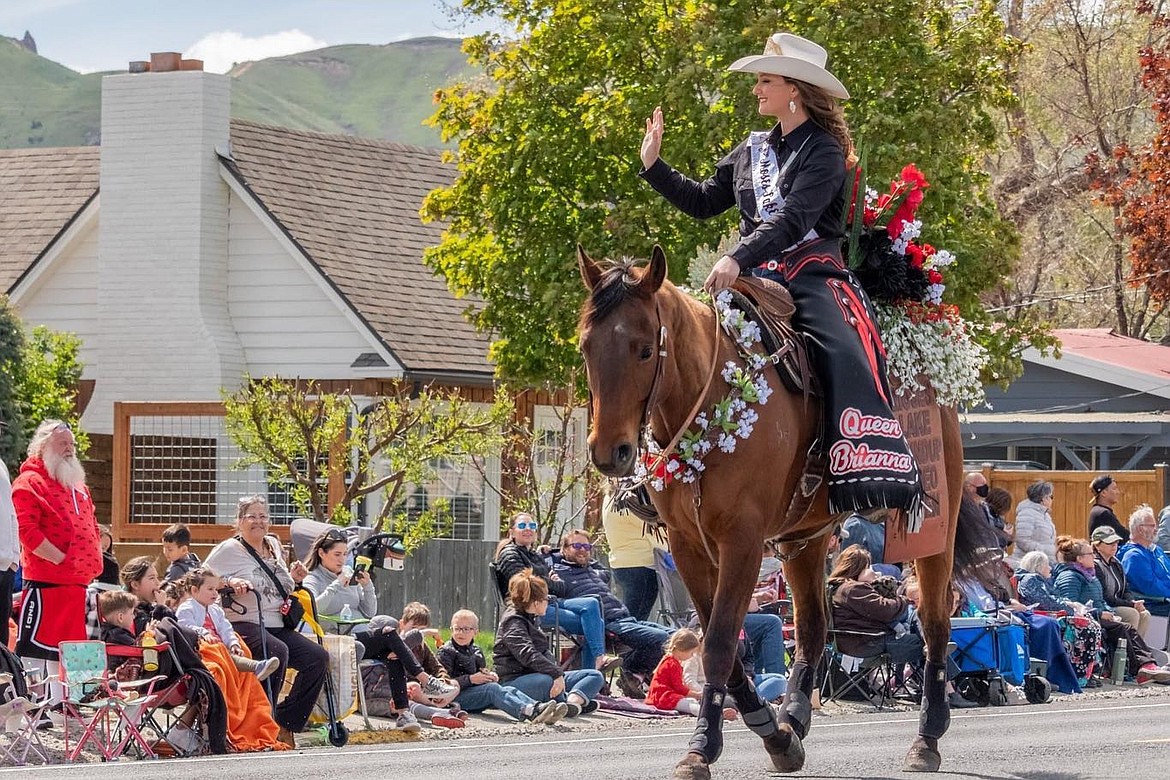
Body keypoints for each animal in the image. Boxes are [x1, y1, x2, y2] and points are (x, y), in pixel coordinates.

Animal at [577, 249, 978, 780]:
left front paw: (701, 748)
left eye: (644, 350)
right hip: (805, 539)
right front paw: (774, 733)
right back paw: (796, 716)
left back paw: (926, 737)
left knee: (934, 624)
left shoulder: (741, 542)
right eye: (586, 347)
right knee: (812, 627)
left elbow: (720, 642)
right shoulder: (688, 545)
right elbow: (724, 646)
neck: (714, 402)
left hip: (934, 532)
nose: (610, 452)